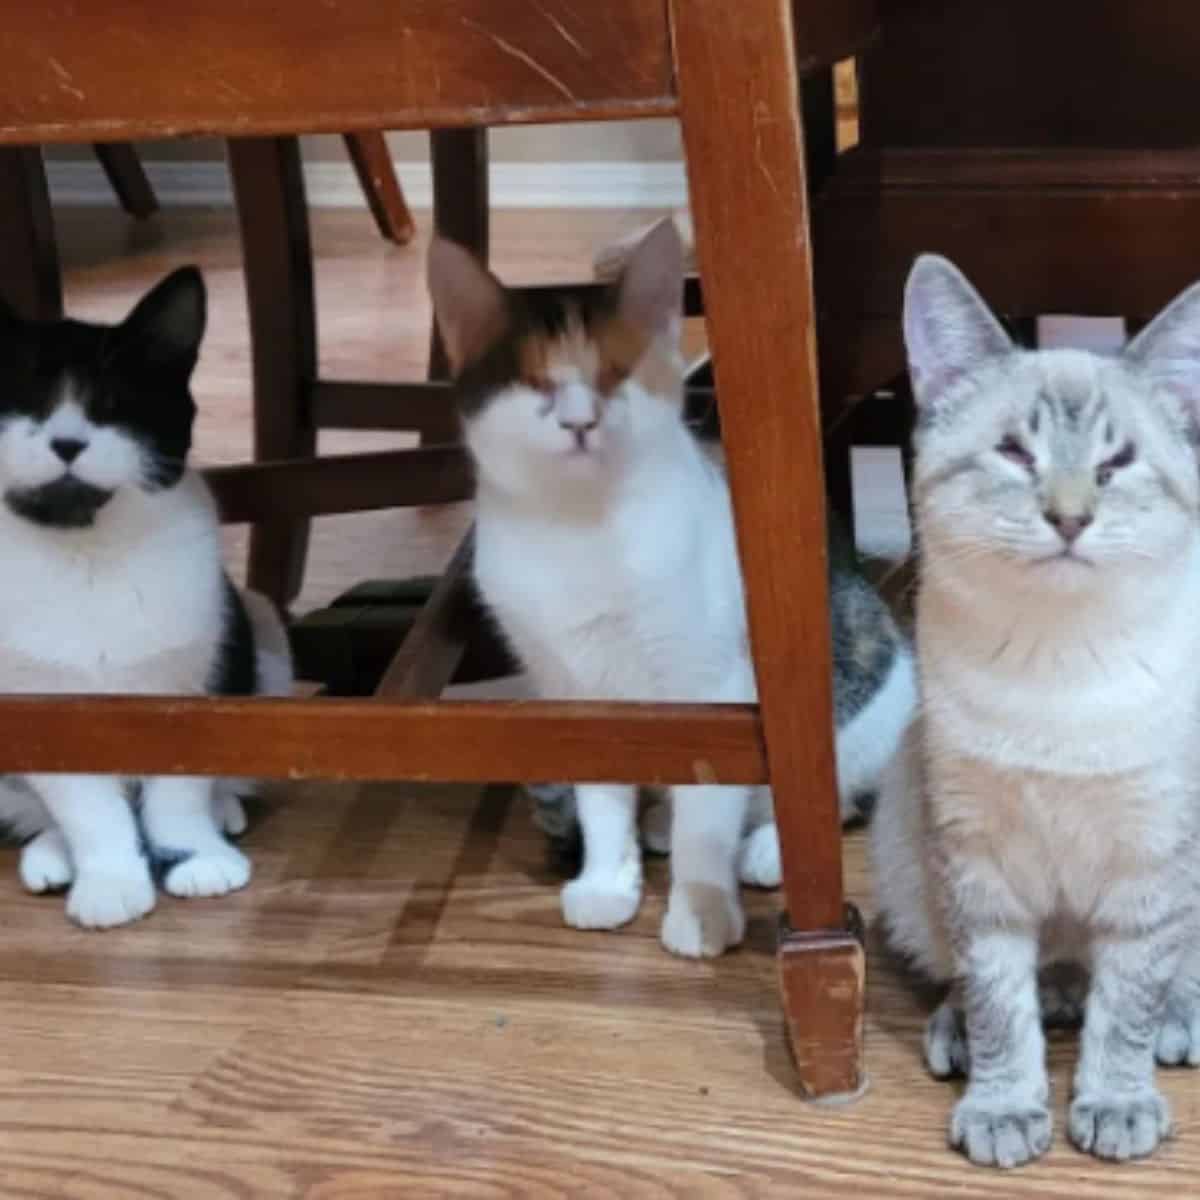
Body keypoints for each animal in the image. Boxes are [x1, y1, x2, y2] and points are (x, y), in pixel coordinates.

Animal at [0, 270, 291, 926]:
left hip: (262, 630)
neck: (86, 554)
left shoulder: (193, 682)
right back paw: (50, 851)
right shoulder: (37, 705)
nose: (67, 442)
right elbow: (85, 807)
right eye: (23, 405)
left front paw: (195, 857)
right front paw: (109, 880)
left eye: (114, 405)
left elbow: (179, 790)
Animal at [427, 223, 912, 955]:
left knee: (827, 797)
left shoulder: (714, 684)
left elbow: (709, 811)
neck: (582, 526)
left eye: (615, 375)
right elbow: (601, 793)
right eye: (535, 382)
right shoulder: (572, 690)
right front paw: (607, 878)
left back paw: (764, 848)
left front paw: (702, 906)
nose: (580, 422)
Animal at [868, 253, 1200, 1161]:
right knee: (993, 978)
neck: (1061, 660)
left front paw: (1117, 1102)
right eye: (1017, 453)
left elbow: (1126, 1003)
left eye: (1118, 462)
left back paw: (1178, 1020)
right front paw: (1005, 1108)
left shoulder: (1151, 858)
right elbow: (996, 1002)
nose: (1070, 517)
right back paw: (975, 1023)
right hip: (906, 843)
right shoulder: (974, 859)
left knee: (1151, 975)